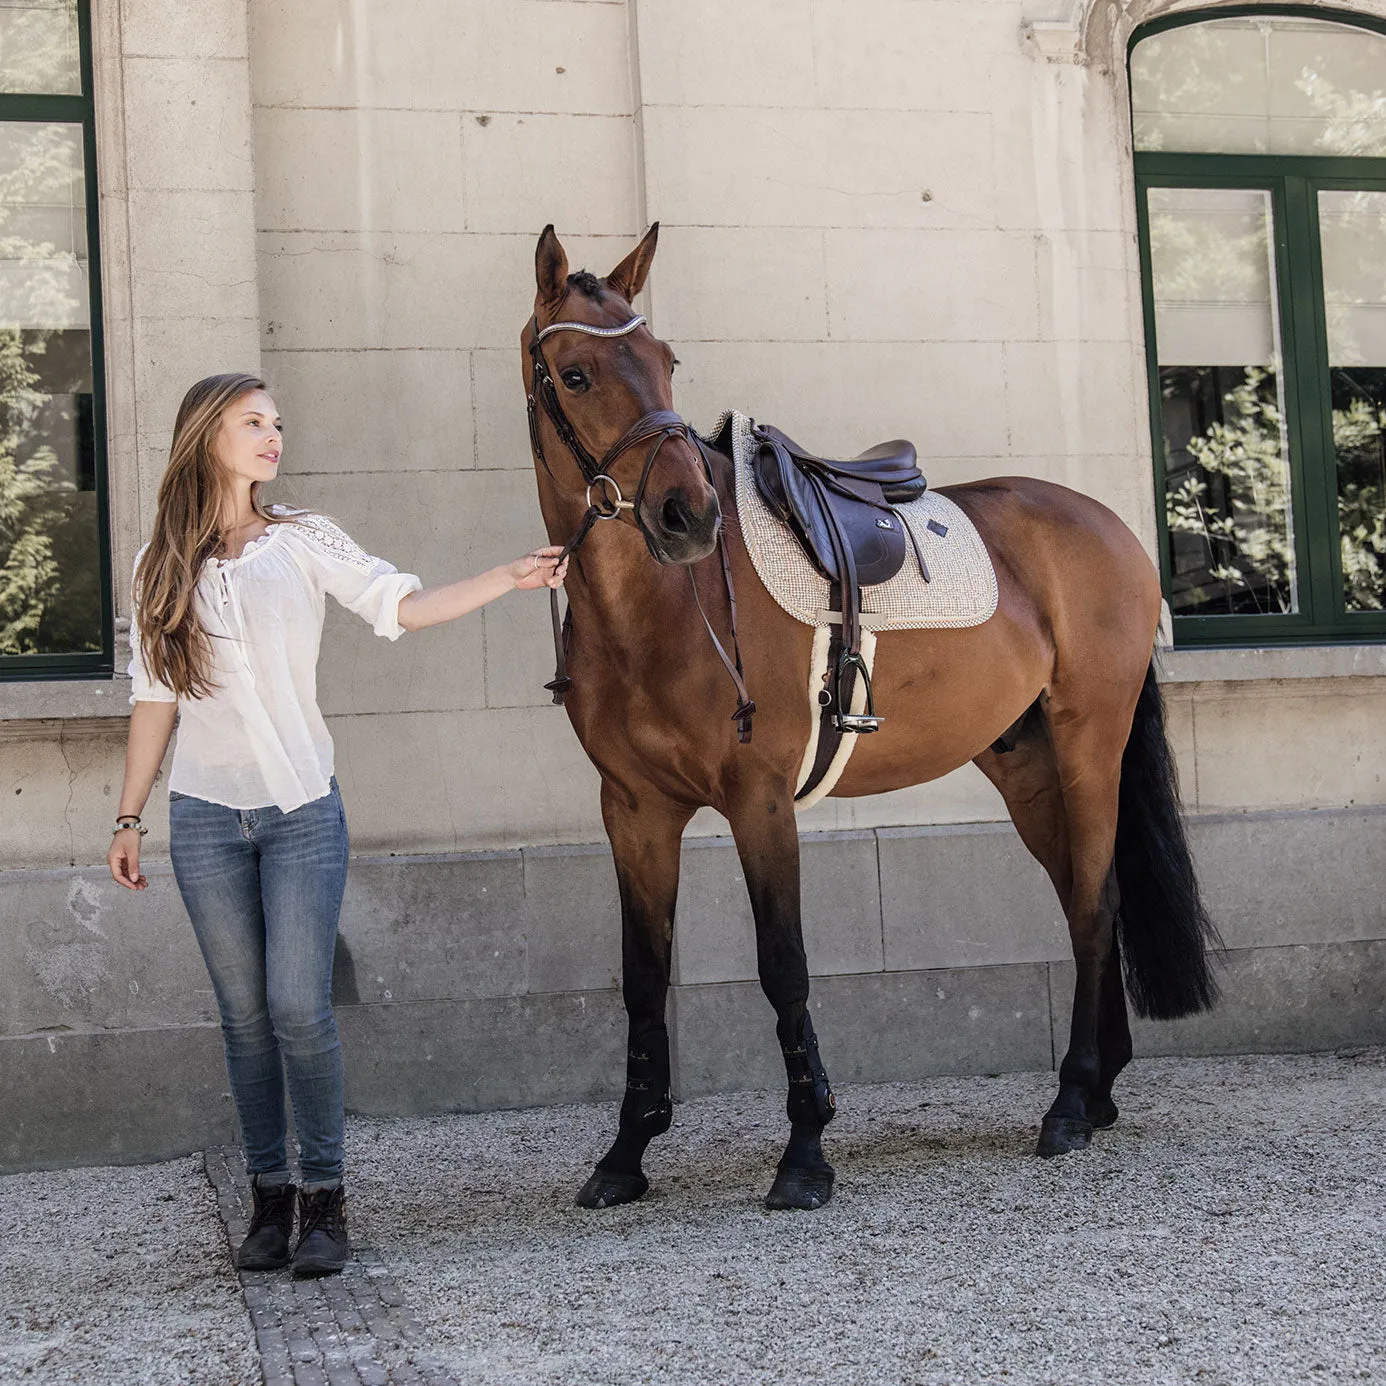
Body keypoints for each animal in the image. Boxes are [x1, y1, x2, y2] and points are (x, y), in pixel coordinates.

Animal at [523, 221, 1219, 1208]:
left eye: (666, 362)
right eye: (576, 374)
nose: (687, 513)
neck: (660, 608)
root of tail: (1110, 527)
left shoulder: (759, 801)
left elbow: (784, 965)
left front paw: (806, 1151)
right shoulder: (634, 812)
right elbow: (643, 977)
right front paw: (625, 1153)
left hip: (1091, 746)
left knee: (1091, 906)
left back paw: (1071, 1103)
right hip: (1026, 766)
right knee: (1092, 898)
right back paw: (1101, 1088)